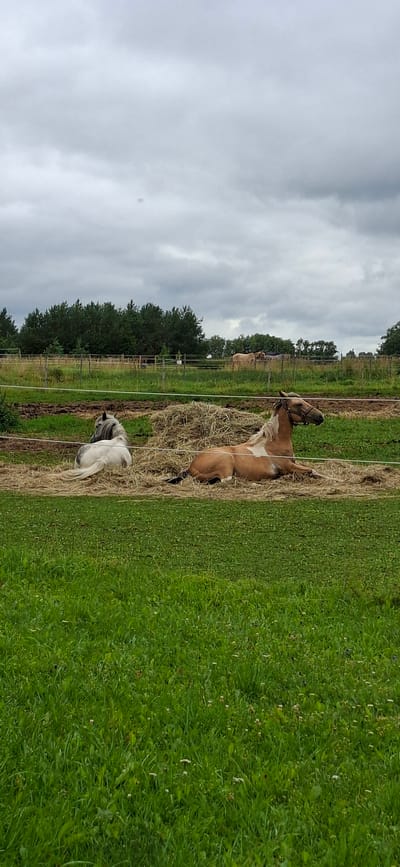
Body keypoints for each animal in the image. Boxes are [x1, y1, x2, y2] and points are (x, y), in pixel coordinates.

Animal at [167, 391, 324, 485]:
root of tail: (191, 467)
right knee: (227, 481)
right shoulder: (288, 466)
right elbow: (311, 470)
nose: (320, 416)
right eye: (299, 404)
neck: (274, 443)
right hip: (226, 462)